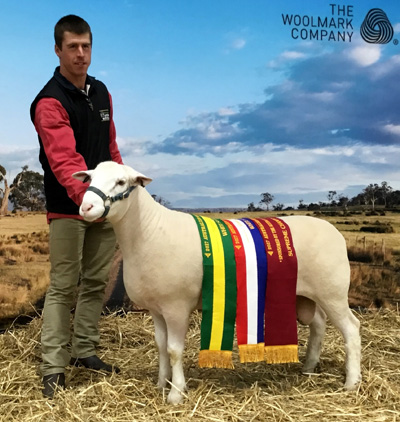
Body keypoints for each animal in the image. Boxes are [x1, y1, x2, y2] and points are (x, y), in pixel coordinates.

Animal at [73, 161, 361, 405]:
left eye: (121, 182)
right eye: (90, 178)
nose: (85, 208)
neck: (148, 230)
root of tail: (334, 231)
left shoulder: (176, 306)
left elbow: (174, 350)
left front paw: (176, 394)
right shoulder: (156, 308)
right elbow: (161, 347)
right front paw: (161, 384)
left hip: (333, 292)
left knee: (351, 329)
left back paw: (351, 382)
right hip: (306, 295)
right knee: (319, 325)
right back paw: (309, 367)